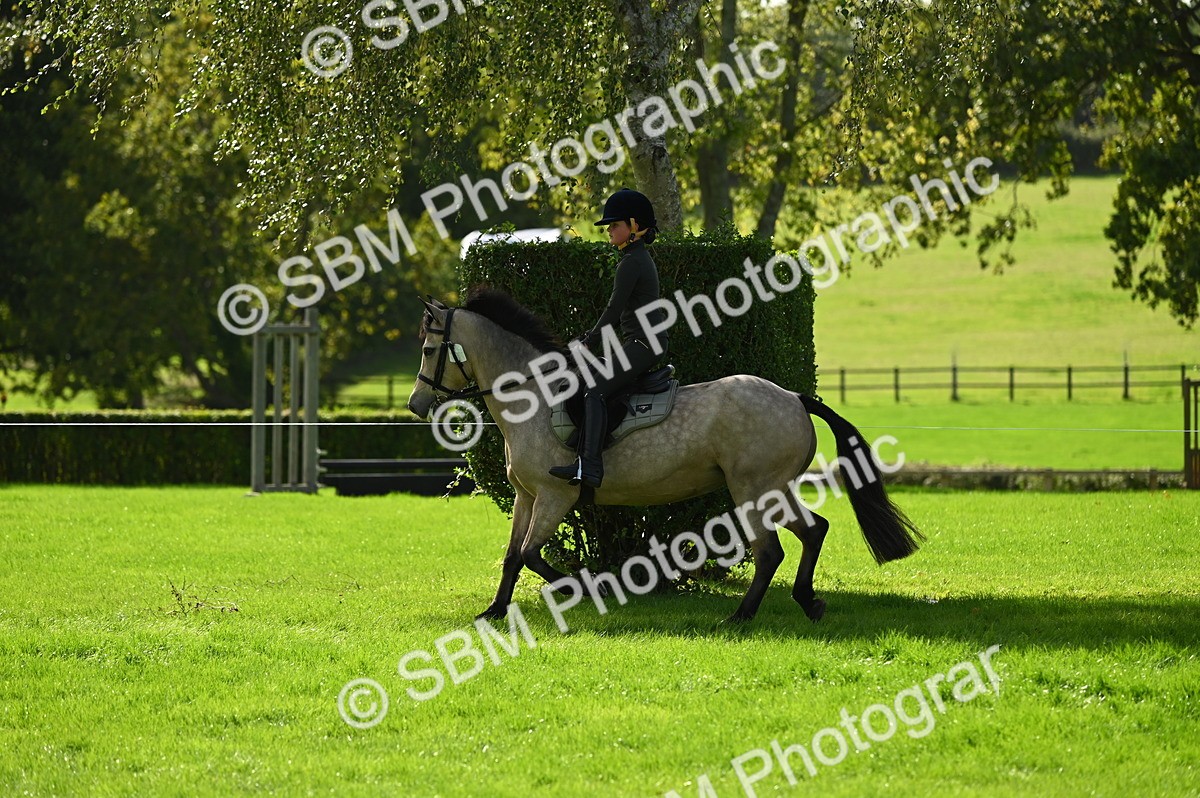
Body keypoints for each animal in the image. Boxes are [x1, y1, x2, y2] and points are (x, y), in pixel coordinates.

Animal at [407, 287, 923, 624]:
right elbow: (513, 556)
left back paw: (741, 617)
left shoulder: (556, 496)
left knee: (769, 550)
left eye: (430, 349)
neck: (534, 397)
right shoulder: (527, 497)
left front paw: (589, 589)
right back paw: (808, 602)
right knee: (813, 530)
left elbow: (533, 556)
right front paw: (494, 610)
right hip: (774, 488)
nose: (415, 404)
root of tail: (795, 398)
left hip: (752, 489)